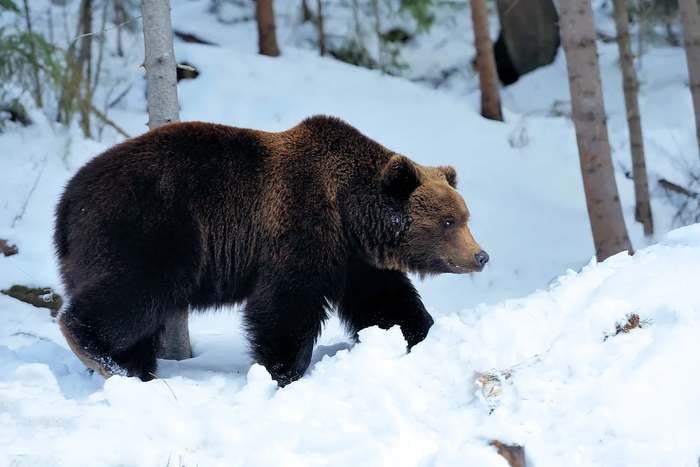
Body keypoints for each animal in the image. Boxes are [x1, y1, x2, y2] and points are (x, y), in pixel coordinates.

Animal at [54, 117, 486, 388]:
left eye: (465, 216)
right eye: (449, 221)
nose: (481, 256)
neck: (349, 212)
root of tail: (67, 198)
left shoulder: (356, 259)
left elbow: (386, 303)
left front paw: (419, 335)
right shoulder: (299, 226)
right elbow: (285, 305)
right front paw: (283, 371)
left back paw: (134, 369)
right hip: (151, 227)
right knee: (134, 293)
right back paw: (98, 351)